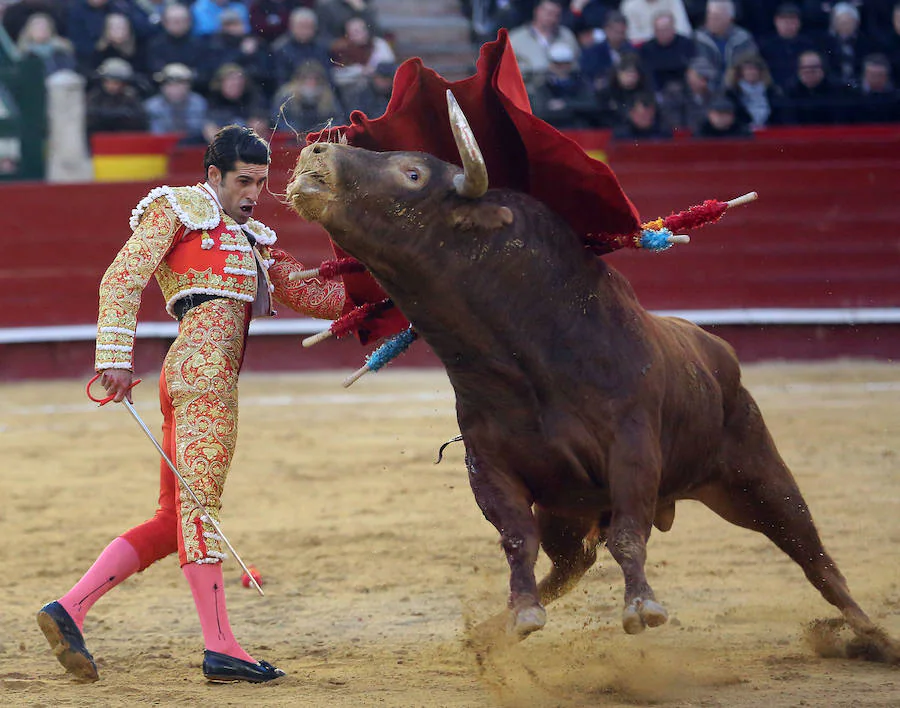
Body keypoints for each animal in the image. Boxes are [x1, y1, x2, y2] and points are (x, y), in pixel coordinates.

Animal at [286, 92, 892, 660]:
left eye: (412, 173)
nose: (315, 153)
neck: (528, 357)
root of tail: (718, 350)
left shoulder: (632, 446)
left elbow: (627, 534)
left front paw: (643, 607)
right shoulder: (491, 466)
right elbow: (517, 539)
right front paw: (521, 614)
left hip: (757, 473)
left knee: (812, 554)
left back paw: (874, 637)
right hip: (571, 507)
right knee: (569, 564)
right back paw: (491, 630)